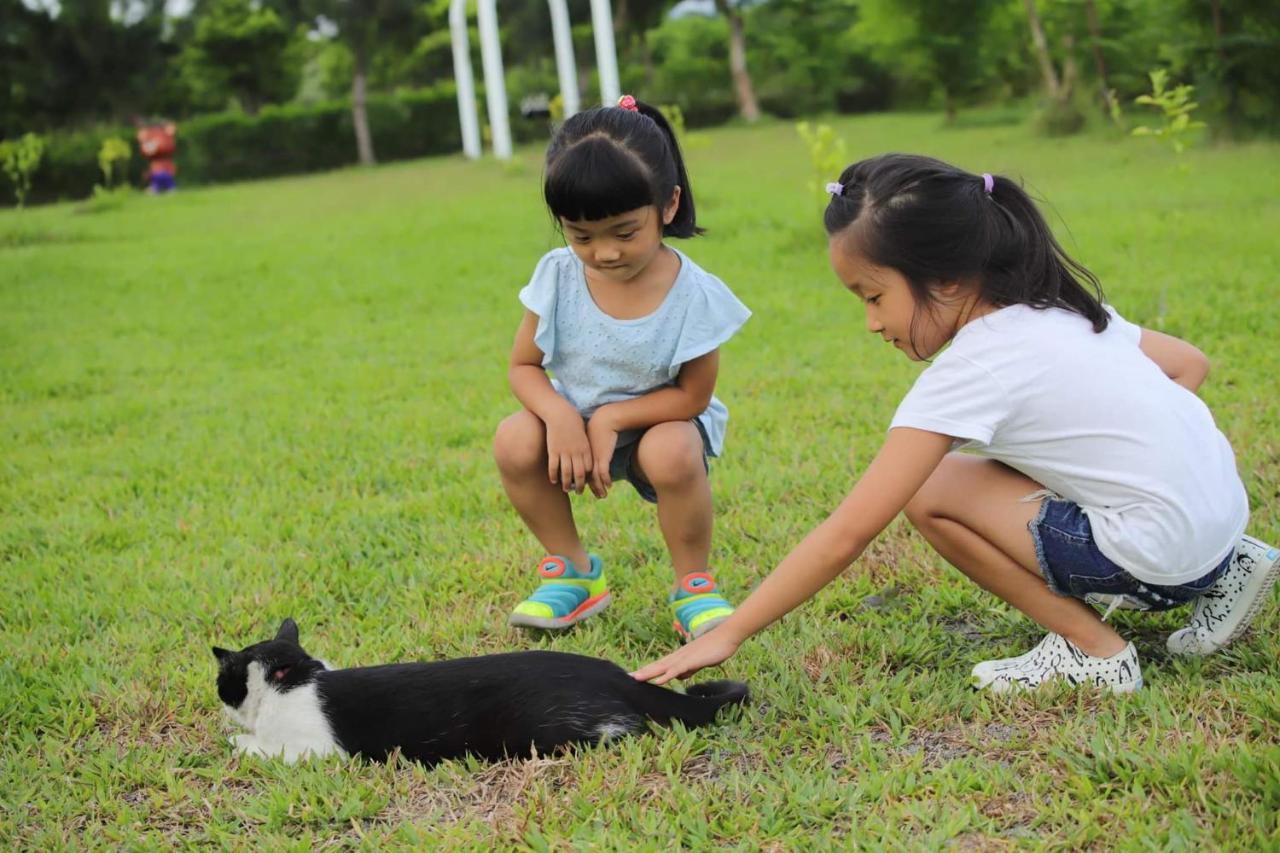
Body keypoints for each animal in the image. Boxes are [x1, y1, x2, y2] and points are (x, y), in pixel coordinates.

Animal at [211, 614, 747, 758]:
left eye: (222, 683)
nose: (222, 703)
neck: (296, 680)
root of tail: (613, 673)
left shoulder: (311, 752)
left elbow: (254, 746)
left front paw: (235, 738)